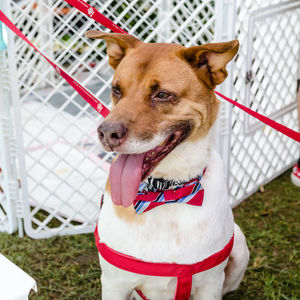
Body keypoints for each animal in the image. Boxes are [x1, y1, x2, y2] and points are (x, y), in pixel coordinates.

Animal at [85, 31, 250, 300]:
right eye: (116, 90)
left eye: (162, 94)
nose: (107, 134)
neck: (165, 192)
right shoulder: (114, 284)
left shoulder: (211, 284)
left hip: (241, 247)